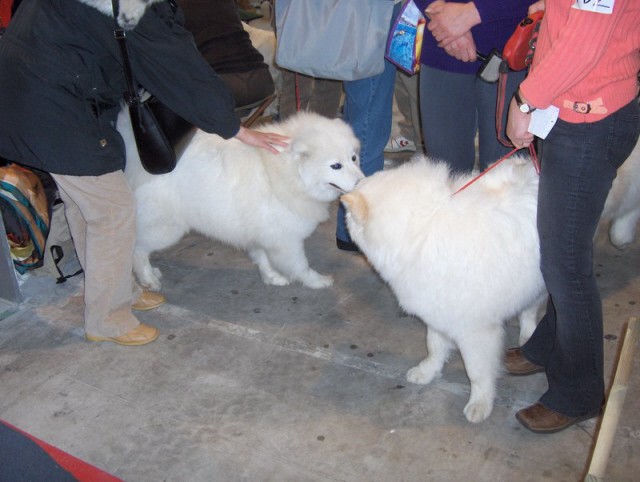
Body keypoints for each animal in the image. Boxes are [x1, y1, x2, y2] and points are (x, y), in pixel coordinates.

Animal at [119, 110, 360, 290]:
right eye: (335, 166)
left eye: (354, 158)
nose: (361, 182)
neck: (286, 175)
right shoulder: (286, 241)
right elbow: (300, 266)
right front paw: (316, 281)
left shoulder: (264, 233)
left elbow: (262, 258)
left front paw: (272, 277)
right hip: (166, 229)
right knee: (137, 250)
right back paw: (148, 279)